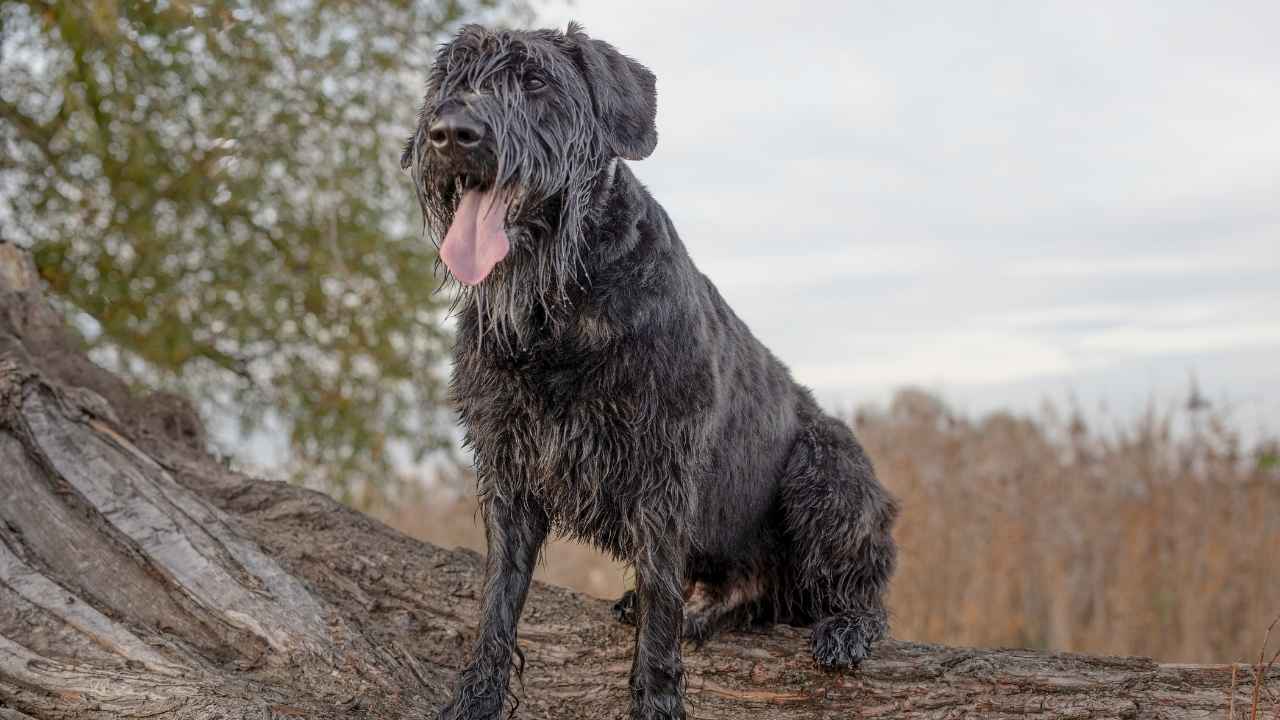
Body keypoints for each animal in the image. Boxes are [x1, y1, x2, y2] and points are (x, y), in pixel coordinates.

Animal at [401, 22, 901, 717]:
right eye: (452, 79)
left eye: (536, 81)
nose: (451, 133)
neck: (559, 312)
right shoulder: (510, 472)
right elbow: (498, 600)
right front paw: (477, 695)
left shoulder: (662, 469)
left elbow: (662, 604)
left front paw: (657, 697)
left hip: (825, 469)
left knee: (861, 587)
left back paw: (846, 627)